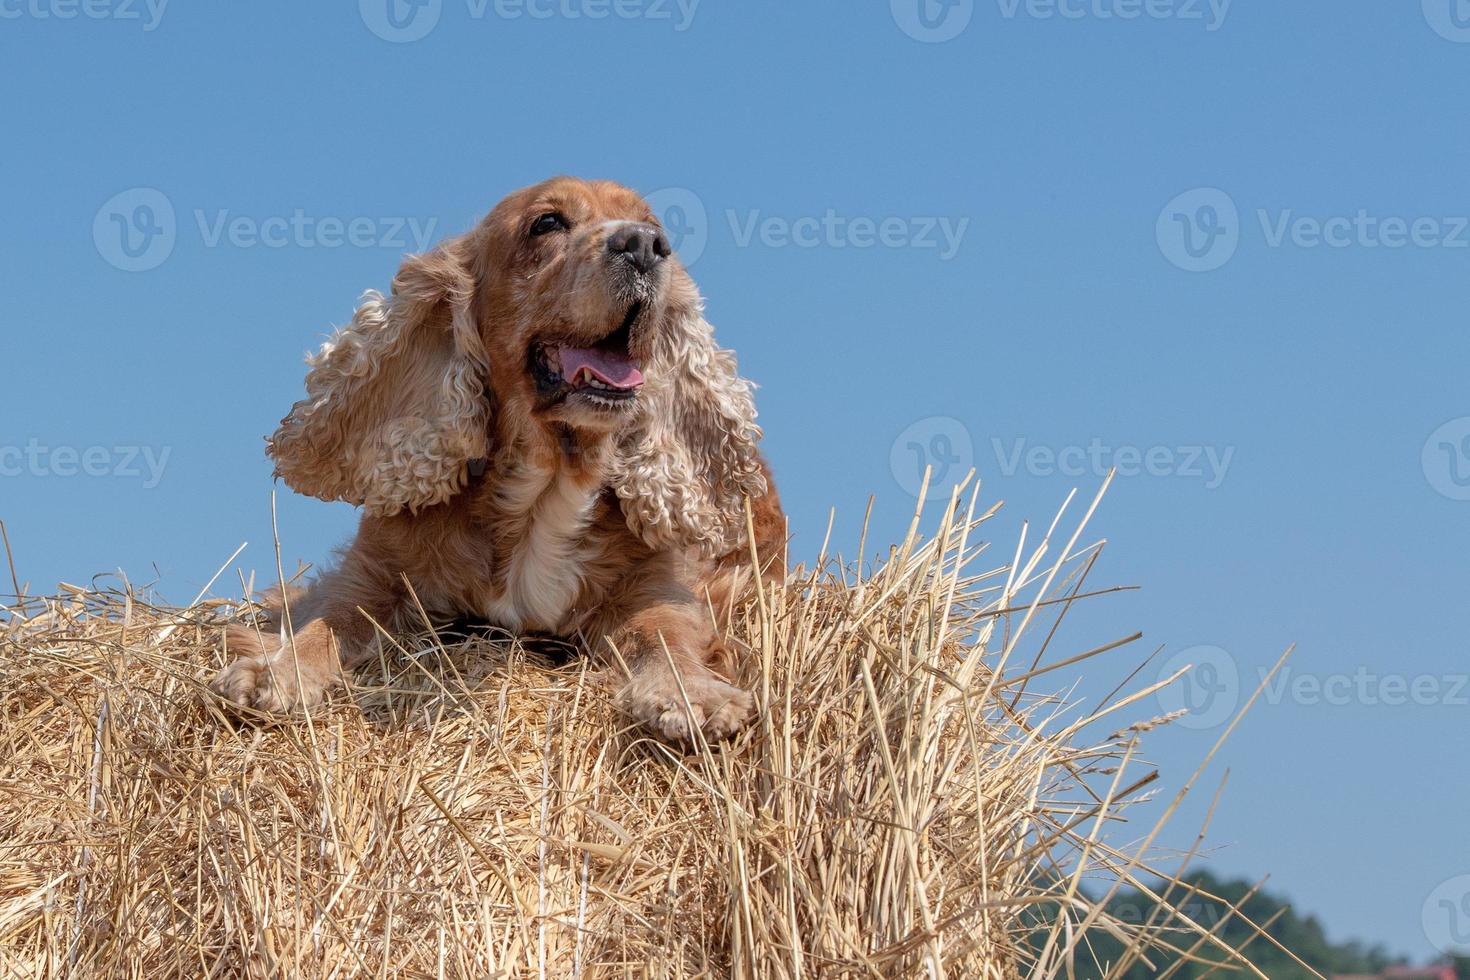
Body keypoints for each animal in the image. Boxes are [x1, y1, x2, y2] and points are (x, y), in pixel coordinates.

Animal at [213, 178, 787, 743]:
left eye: (657, 227)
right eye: (548, 222)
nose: (645, 245)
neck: (546, 482)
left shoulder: (662, 587)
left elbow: (665, 638)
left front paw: (693, 695)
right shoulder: (370, 576)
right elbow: (323, 624)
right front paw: (274, 671)